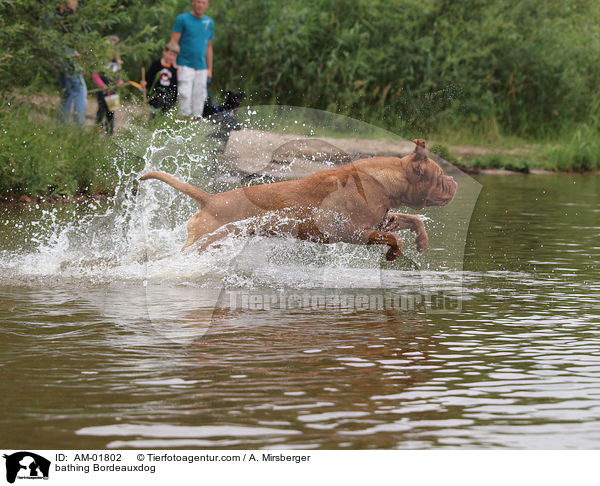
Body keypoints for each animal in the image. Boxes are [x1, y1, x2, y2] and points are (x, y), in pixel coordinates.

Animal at [141, 139, 458, 260]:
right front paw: (395, 252)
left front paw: (422, 240)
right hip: (205, 240)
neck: (386, 180)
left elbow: (412, 219)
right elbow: (395, 238)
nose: (455, 181)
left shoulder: (383, 220)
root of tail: (209, 199)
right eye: (441, 175)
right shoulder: (352, 231)